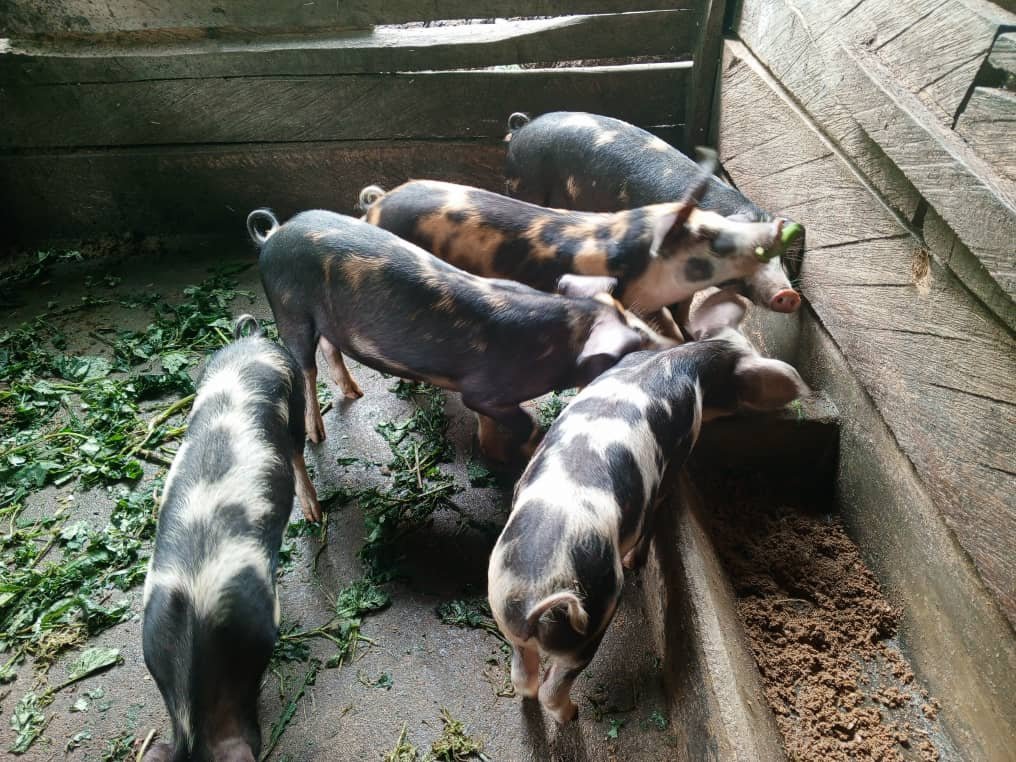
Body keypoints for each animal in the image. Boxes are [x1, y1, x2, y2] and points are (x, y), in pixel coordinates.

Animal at [246, 208, 677, 461]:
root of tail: (274, 234)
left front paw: (488, 447)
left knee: (331, 348)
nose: (675, 347)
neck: (559, 335)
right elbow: (522, 421)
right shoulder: (484, 389)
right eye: (631, 348)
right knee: (305, 365)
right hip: (288, 309)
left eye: (638, 324)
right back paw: (318, 435)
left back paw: (356, 392)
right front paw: (515, 451)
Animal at [358, 156, 801, 341]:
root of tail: (377, 205)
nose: (789, 294)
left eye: (782, 260)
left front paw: (690, 336)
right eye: (714, 240)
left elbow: (679, 322)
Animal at [487, 288, 808, 724]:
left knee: (524, 677)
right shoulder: (675, 457)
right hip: (590, 624)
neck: (687, 361)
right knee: (555, 687)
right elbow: (658, 511)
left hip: (508, 616)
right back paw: (572, 714)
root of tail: (537, 597)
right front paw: (636, 561)